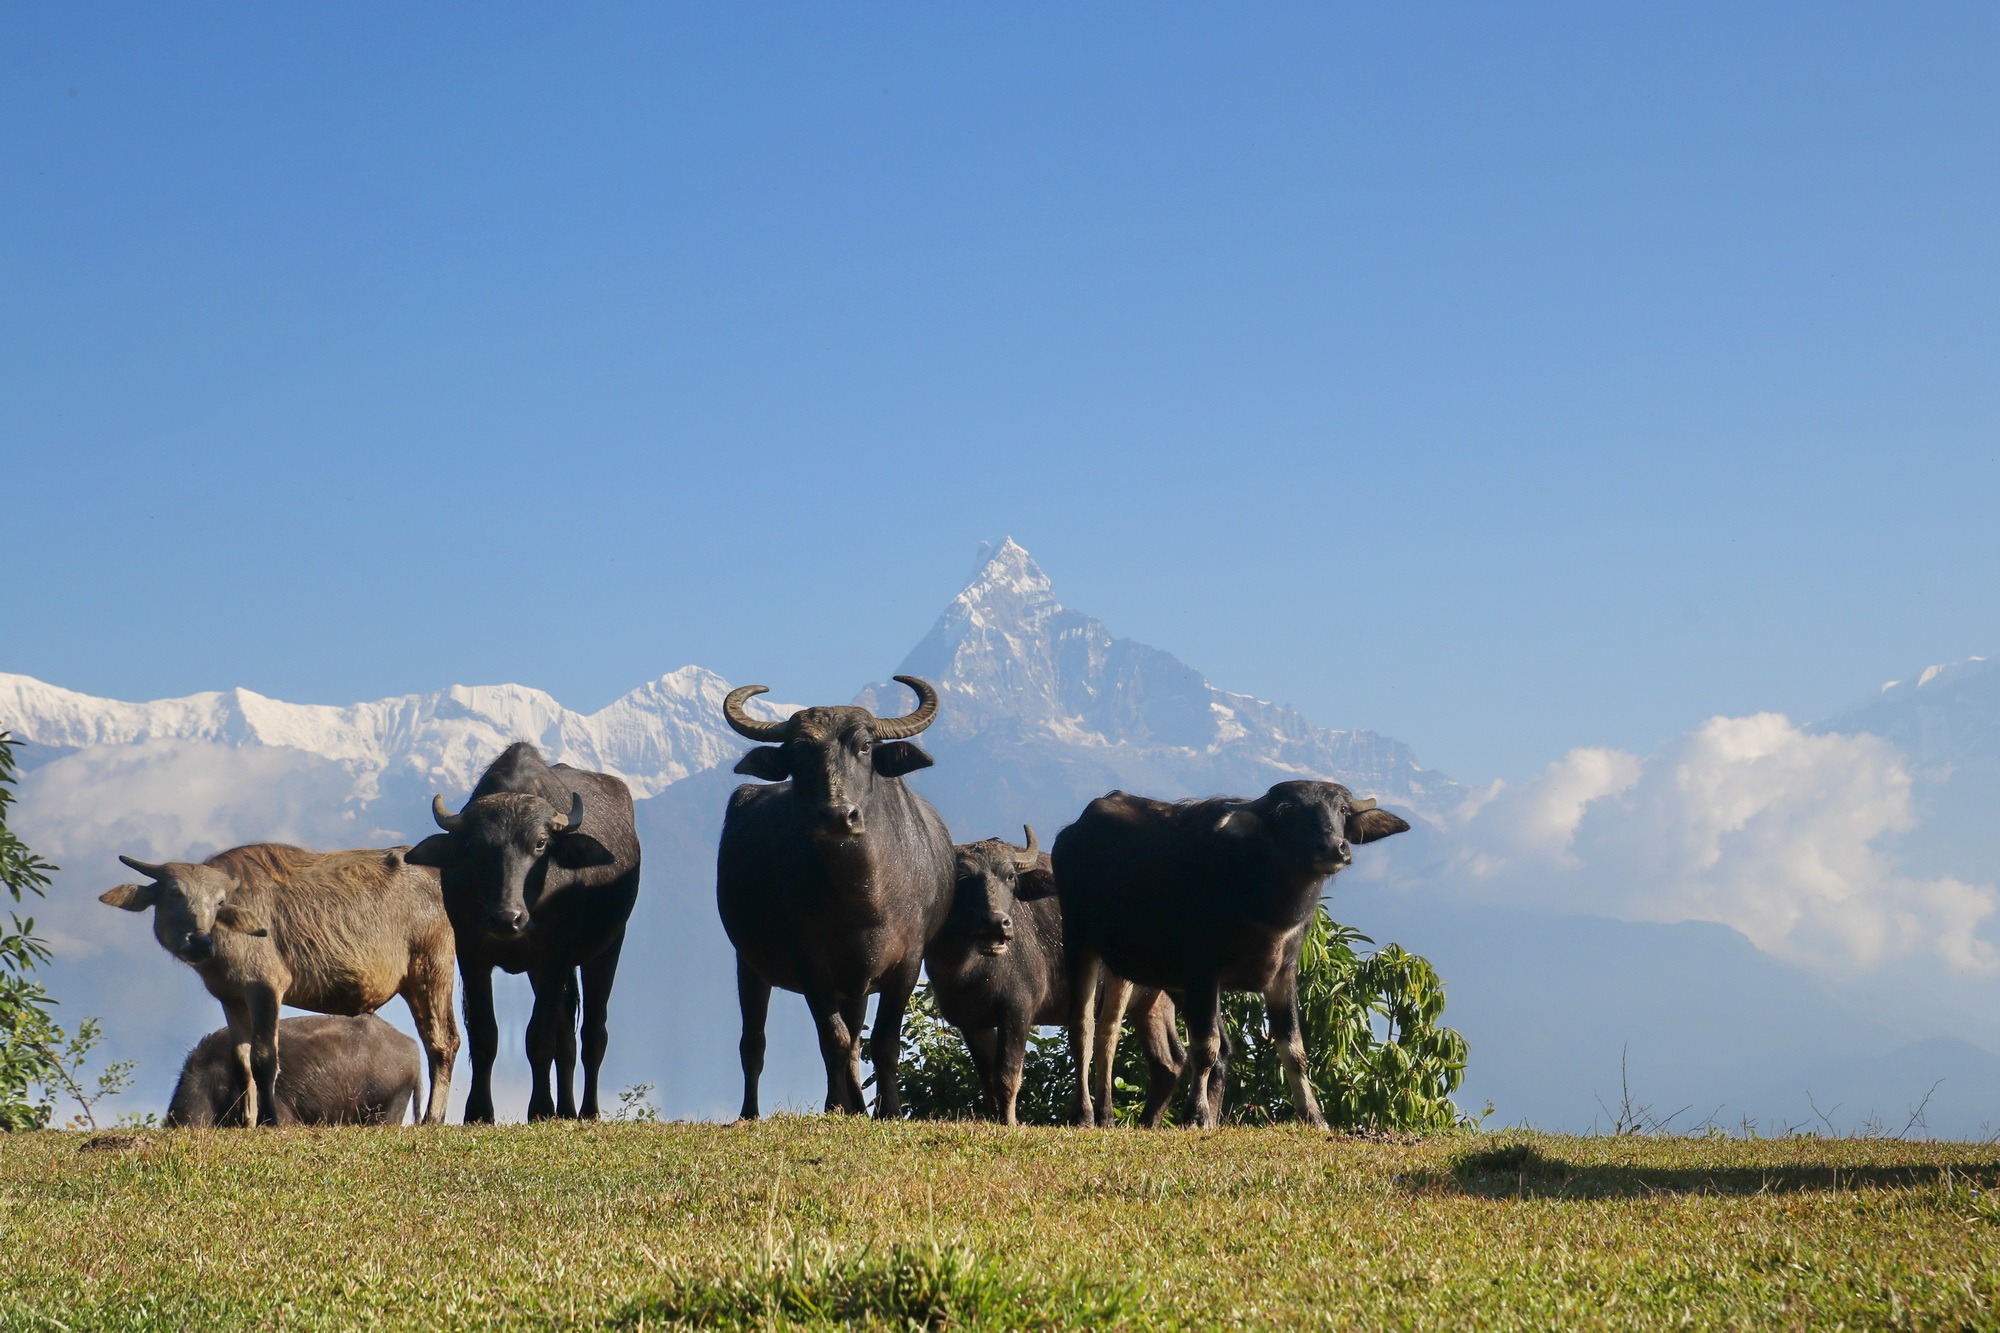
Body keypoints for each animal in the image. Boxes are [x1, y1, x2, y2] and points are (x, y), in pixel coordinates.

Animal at [398, 740, 632, 1112]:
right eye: (477, 845)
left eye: (540, 843)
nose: (507, 918)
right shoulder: (472, 955)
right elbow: (485, 1034)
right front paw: (479, 1111)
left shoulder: (553, 957)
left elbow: (539, 1037)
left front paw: (539, 1109)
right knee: (567, 1037)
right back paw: (565, 1110)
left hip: (607, 948)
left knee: (593, 1032)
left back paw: (587, 1111)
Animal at [924, 832, 1184, 1120]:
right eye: (962, 877)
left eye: (1010, 876)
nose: (996, 923)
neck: (966, 968)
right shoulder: (971, 1023)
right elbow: (987, 1079)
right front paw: (995, 1117)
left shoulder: (1018, 1010)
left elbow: (1006, 1073)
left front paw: (1010, 1121)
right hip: (1154, 1003)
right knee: (1169, 1063)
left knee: (1110, 1033)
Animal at [1056, 772, 1416, 1128]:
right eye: (1288, 812)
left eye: (1341, 810)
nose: (1333, 847)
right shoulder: (1202, 974)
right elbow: (1206, 1047)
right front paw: (1196, 1115)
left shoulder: (1283, 975)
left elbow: (1294, 1049)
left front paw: (1313, 1116)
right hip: (1079, 940)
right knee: (1083, 1026)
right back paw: (1084, 1114)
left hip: (1128, 967)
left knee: (1109, 1030)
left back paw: (1105, 1115)